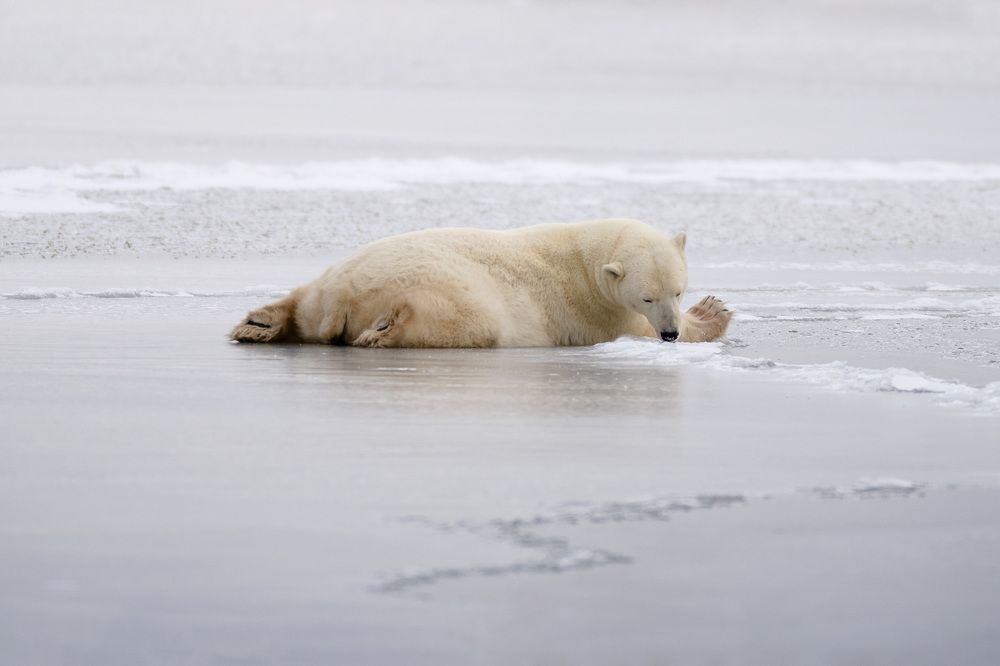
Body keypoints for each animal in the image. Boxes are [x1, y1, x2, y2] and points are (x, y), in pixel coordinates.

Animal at [229, 218, 732, 348]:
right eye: (648, 295)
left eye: (677, 288)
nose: (669, 332)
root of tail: (344, 299)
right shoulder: (598, 311)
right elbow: (635, 329)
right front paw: (713, 311)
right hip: (454, 293)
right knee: (459, 321)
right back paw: (384, 331)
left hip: (328, 284)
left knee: (302, 302)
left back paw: (259, 324)